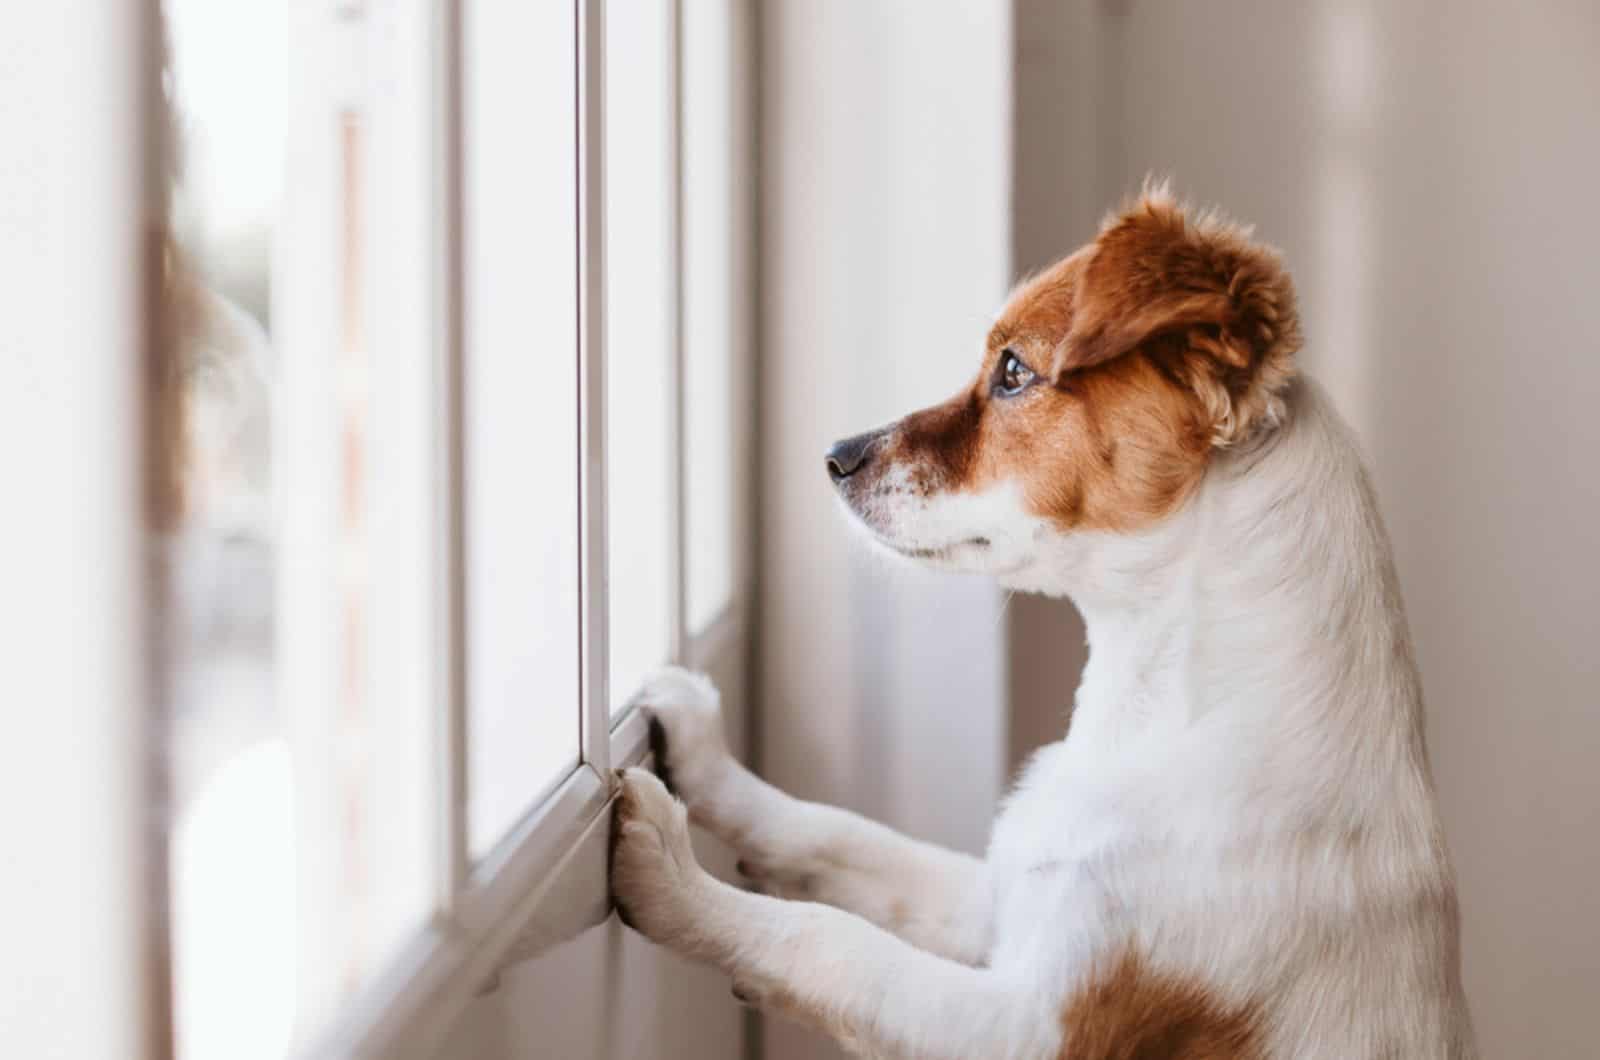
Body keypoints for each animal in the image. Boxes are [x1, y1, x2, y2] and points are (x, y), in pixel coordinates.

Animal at [608, 186, 1472, 1056]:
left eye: (1015, 371)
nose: (835, 456)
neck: (1159, 714)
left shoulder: (1030, 1027)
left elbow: (831, 940)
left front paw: (674, 878)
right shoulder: (1000, 901)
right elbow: (836, 833)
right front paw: (705, 755)